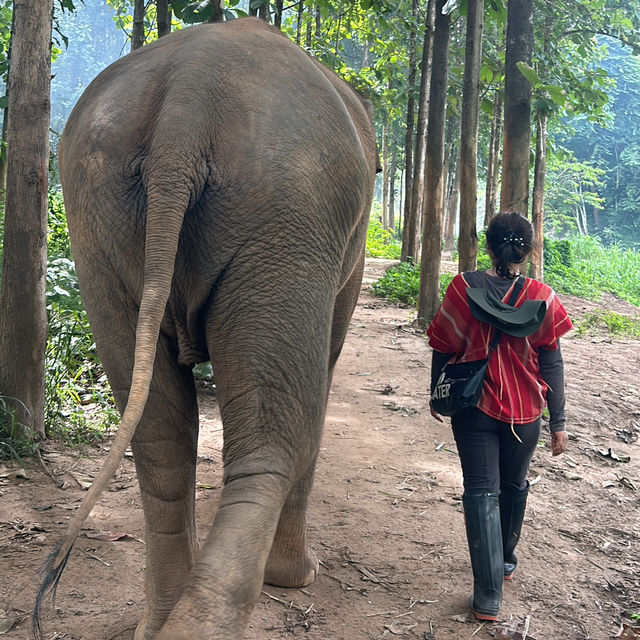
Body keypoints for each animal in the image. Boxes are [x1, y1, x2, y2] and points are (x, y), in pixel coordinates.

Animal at [35, 15, 378, 640]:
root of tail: (188, 103)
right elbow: (324, 370)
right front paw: (299, 580)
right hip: (284, 220)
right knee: (272, 438)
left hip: (99, 221)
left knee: (159, 432)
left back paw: (162, 621)